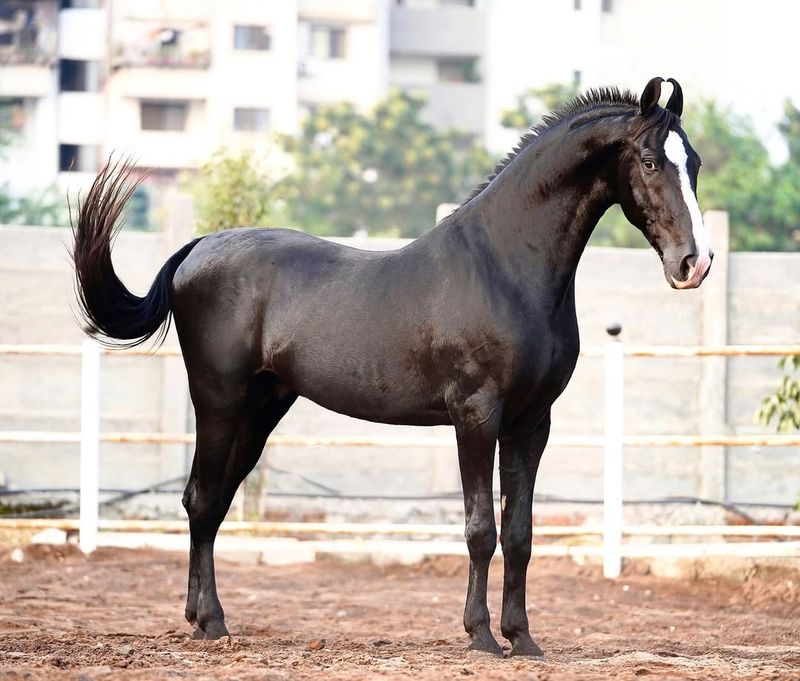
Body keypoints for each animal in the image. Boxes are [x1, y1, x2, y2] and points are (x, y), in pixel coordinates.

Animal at [72, 77, 712, 656]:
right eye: (650, 161)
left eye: (696, 163)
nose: (695, 263)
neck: (505, 267)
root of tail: (198, 248)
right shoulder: (476, 416)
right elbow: (481, 528)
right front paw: (481, 636)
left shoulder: (532, 423)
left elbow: (521, 533)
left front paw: (523, 639)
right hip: (220, 404)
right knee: (202, 501)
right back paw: (211, 623)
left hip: (260, 412)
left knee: (212, 503)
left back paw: (203, 619)